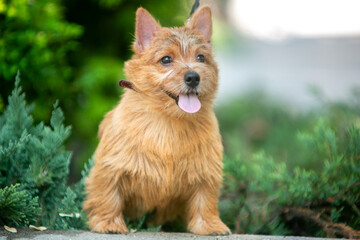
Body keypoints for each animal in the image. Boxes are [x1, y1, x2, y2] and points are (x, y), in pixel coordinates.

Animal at [83, 0, 231, 235]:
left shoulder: (206, 169)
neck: (169, 119)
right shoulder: (112, 166)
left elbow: (205, 199)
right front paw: (109, 223)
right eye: (166, 60)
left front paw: (210, 225)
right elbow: (108, 193)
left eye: (200, 58)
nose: (193, 77)